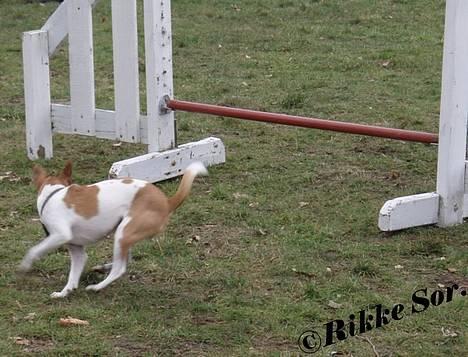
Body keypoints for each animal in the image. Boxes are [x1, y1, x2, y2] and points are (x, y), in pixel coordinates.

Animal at [20, 160, 207, 296]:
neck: (53, 194)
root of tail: (167, 202)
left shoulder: (60, 235)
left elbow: (34, 250)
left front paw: (25, 265)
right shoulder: (77, 250)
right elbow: (73, 275)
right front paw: (64, 292)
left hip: (124, 233)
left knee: (120, 268)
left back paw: (98, 286)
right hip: (126, 234)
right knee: (126, 258)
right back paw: (103, 267)